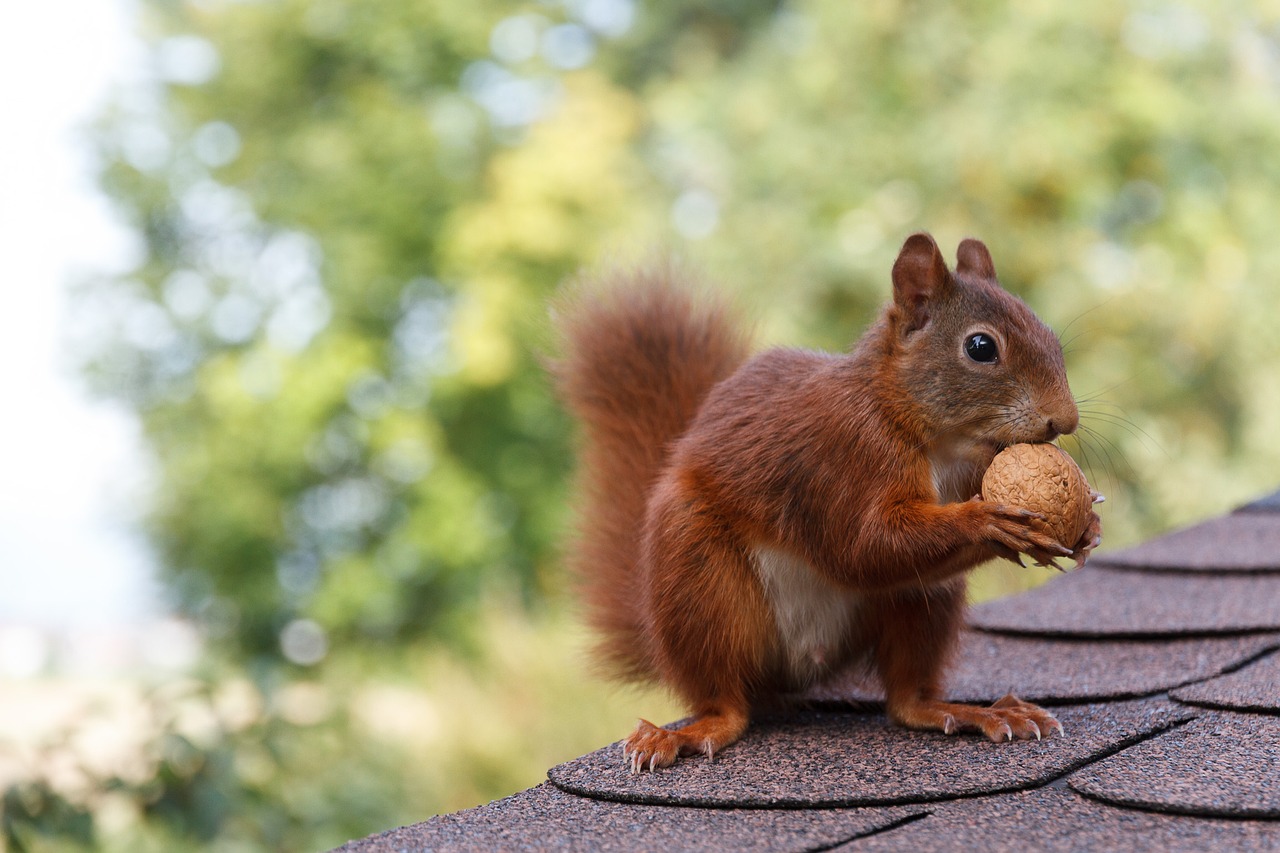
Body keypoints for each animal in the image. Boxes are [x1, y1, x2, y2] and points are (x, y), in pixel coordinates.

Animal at [550, 233, 1100, 768]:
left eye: (1050, 335)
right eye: (981, 347)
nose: (1065, 419)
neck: (934, 437)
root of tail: (802, 665)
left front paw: (1087, 524)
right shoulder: (842, 457)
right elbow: (863, 547)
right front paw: (988, 520)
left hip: (925, 601)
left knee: (906, 699)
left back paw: (967, 711)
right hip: (697, 579)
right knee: (724, 698)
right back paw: (692, 730)